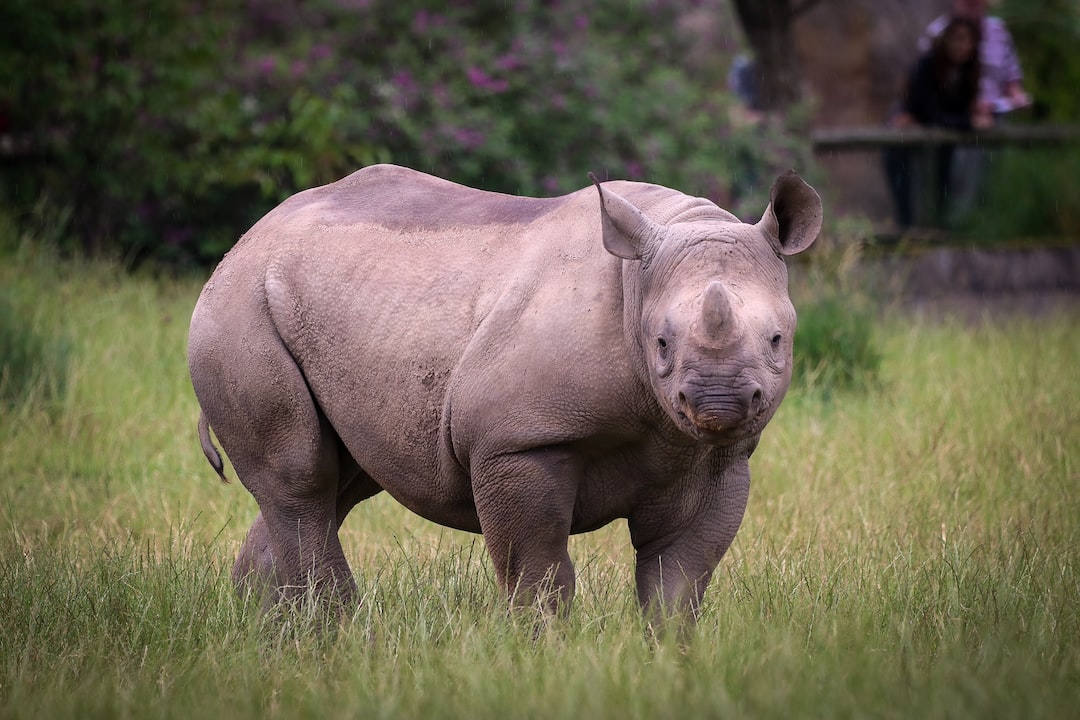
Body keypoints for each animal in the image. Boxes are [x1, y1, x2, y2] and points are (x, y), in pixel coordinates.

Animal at [187, 164, 822, 626]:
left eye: (777, 340)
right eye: (661, 343)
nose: (720, 405)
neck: (635, 284)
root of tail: (250, 236)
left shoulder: (717, 458)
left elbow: (679, 576)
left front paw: (668, 656)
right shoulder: (517, 442)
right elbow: (537, 570)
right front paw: (545, 651)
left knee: (340, 479)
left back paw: (269, 629)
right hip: (238, 309)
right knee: (302, 478)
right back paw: (336, 629)